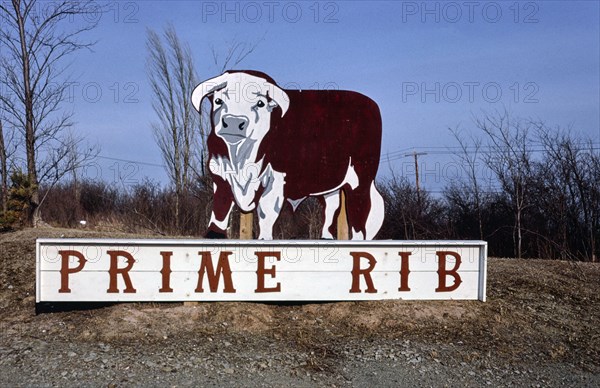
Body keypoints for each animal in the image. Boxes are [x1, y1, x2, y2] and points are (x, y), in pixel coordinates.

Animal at [195, 70, 386, 239]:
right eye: (218, 100)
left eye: (260, 103)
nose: (234, 122)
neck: (240, 157)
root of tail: (370, 103)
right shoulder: (219, 173)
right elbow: (221, 206)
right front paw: (213, 235)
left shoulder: (276, 177)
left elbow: (266, 211)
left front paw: (264, 238)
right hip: (328, 179)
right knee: (332, 205)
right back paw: (326, 237)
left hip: (361, 180)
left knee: (359, 213)